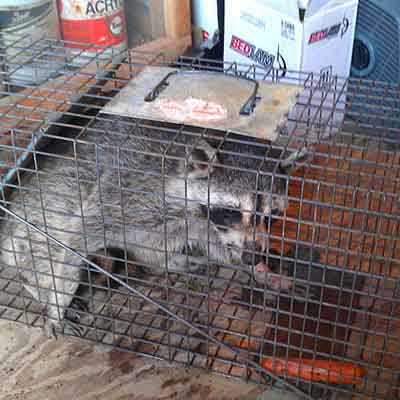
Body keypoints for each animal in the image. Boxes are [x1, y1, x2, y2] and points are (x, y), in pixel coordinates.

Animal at [0, 114, 306, 336]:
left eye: (271, 216)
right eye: (231, 212)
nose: (254, 255)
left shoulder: (200, 223)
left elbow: (218, 245)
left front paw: (262, 270)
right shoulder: (128, 193)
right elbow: (78, 237)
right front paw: (56, 307)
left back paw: (172, 260)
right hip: (30, 228)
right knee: (44, 257)